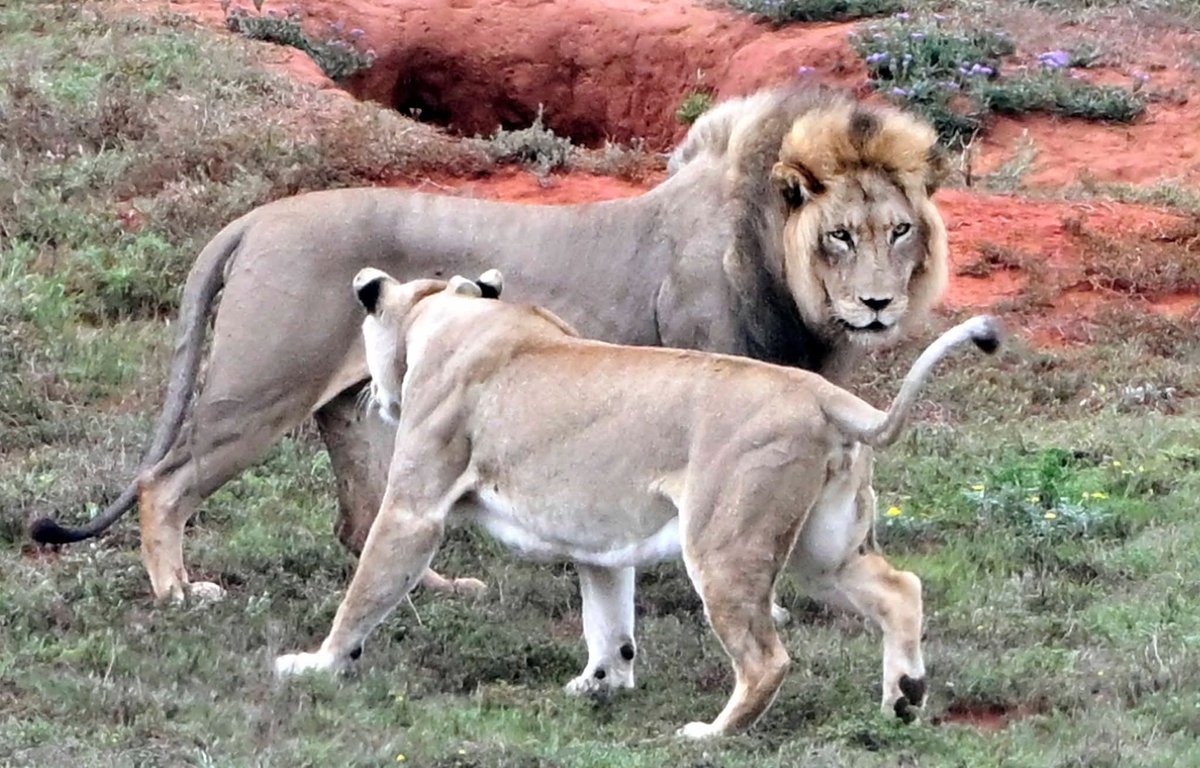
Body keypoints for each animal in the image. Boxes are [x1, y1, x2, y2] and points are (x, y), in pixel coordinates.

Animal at [29, 85, 950, 604]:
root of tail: (257, 217)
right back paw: (178, 592)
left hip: (361, 408)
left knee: (364, 520)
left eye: (899, 230)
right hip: (261, 386)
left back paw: (440, 586)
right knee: (165, 482)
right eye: (839, 236)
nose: (877, 304)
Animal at [273, 268, 1000, 739]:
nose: (374, 397)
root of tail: (825, 394)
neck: (450, 311)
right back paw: (904, 701)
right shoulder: (600, 538)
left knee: (766, 659)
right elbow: (608, 620)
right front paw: (601, 684)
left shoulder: (414, 509)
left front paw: (317, 665)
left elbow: (365, 592)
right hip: (823, 553)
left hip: (722, 543)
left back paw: (711, 734)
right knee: (901, 589)